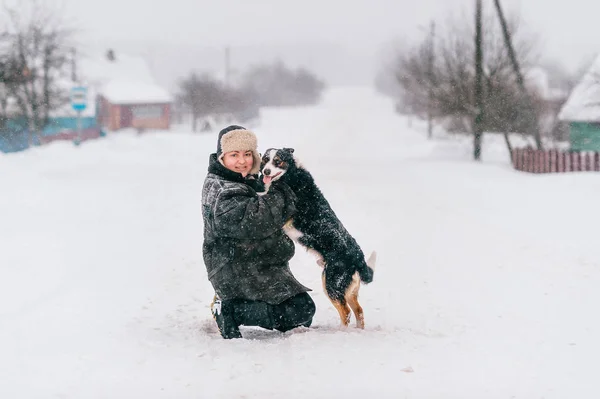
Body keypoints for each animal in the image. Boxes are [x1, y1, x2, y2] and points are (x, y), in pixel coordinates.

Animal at [262, 148, 378, 330]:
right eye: (265, 160)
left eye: (277, 161)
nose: (265, 171)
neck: (291, 174)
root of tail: (359, 258)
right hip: (348, 288)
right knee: (359, 311)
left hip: (331, 282)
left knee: (346, 312)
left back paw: (342, 331)